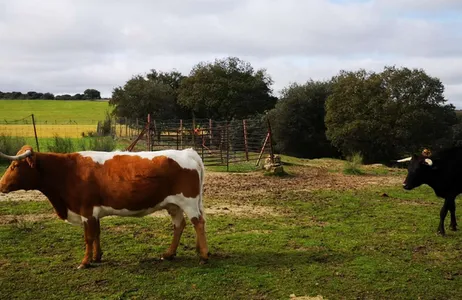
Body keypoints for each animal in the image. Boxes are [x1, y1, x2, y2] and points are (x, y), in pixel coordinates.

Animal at [0, 145, 209, 268]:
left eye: (15, 167)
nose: (1, 185)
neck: (67, 171)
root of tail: (187, 152)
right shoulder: (93, 212)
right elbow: (97, 234)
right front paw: (96, 257)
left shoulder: (86, 210)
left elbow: (88, 237)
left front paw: (85, 262)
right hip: (173, 204)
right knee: (180, 225)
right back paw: (169, 253)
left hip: (189, 201)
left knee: (198, 223)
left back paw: (204, 255)